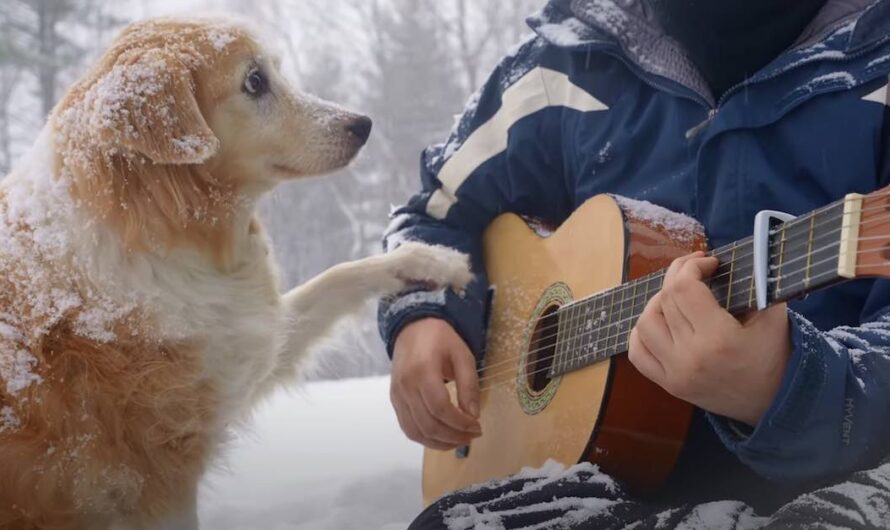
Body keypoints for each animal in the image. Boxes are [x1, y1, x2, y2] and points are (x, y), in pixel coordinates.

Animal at [0, 16, 468, 528]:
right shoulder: (161, 481)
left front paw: (430, 260)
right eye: (255, 81)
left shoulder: (245, 341)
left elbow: (340, 275)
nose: (362, 124)